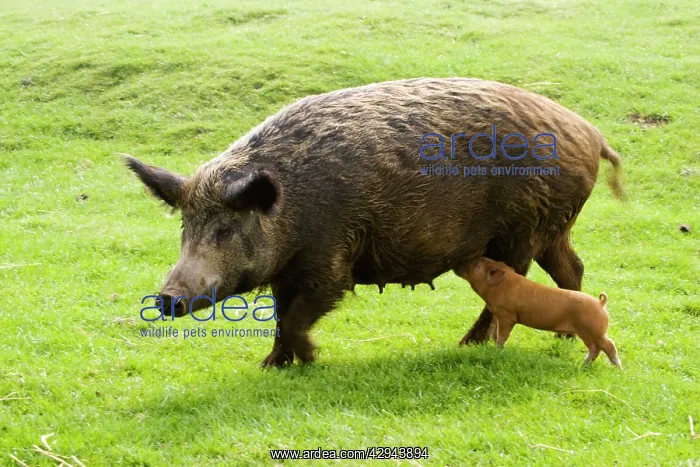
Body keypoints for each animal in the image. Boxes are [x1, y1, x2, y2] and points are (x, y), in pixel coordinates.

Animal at [125, 77, 625, 367]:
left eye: (225, 230)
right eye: (185, 228)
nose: (166, 299)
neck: (290, 209)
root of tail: (592, 135)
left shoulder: (331, 258)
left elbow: (302, 311)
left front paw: (307, 360)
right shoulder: (289, 271)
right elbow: (281, 315)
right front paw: (272, 365)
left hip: (523, 229)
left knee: (516, 281)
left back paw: (467, 345)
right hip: (554, 227)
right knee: (571, 268)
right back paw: (561, 338)